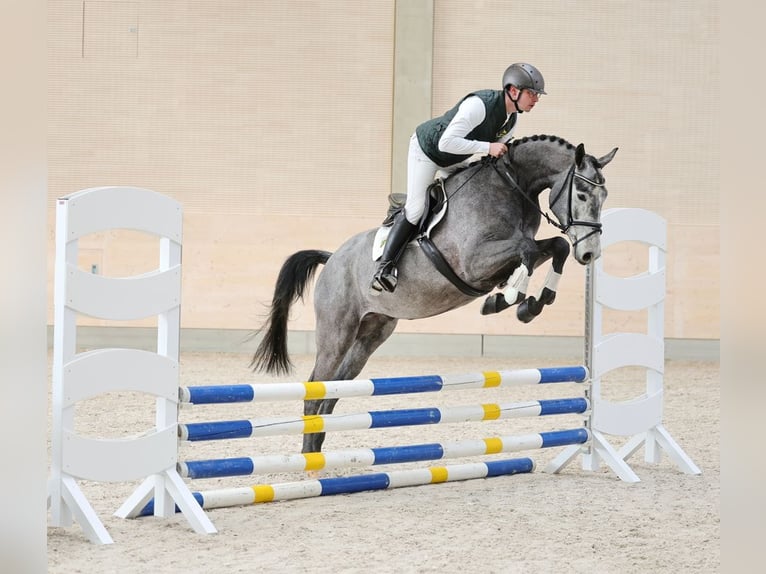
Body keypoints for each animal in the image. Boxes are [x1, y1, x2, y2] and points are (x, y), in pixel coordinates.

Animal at [251, 134, 618, 454]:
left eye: (604, 197)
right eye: (581, 194)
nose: (589, 254)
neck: (512, 185)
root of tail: (332, 259)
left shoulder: (513, 253)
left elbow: (553, 246)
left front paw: (528, 303)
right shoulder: (475, 262)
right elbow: (527, 250)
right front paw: (510, 300)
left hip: (370, 335)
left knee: (331, 394)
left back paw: (316, 456)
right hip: (337, 332)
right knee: (315, 391)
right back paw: (309, 462)